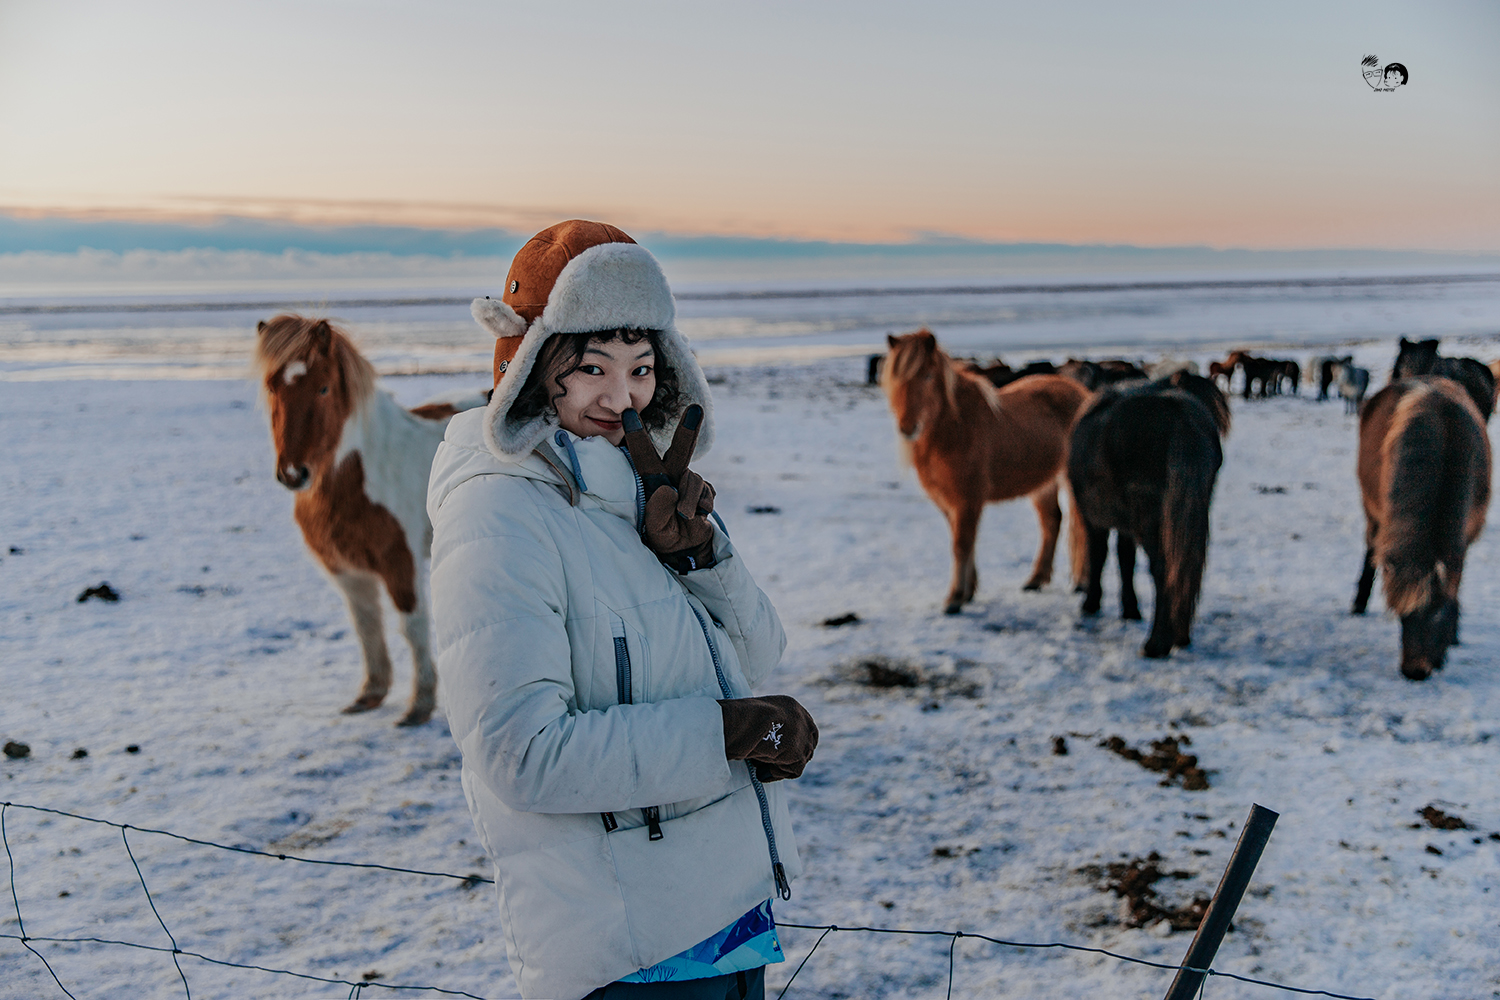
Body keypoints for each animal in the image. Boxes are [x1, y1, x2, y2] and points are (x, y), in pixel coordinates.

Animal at [256, 314, 486, 728]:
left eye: (323, 388)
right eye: (271, 387)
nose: (293, 474)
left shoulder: (401, 562)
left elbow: (412, 627)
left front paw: (418, 706)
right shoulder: (348, 571)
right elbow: (367, 626)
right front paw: (370, 695)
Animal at [876, 329, 1092, 611]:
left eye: (927, 375)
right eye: (895, 378)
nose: (907, 427)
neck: (955, 429)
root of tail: (1082, 394)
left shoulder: (968, 499)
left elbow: (961, 545)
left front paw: (955, 598)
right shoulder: (948, 501)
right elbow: (963, 542)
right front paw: (969, 591)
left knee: (1082, 527)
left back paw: (1082, 582)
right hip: (1044, 483)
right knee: (1051, 522)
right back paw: (1035, 580)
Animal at [1068, 371, 1230, 659]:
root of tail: (1179, 417)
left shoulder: (1094, 520)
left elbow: (1099, 555)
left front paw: (1091, 602)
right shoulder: (1125, 525)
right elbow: (1125, 559)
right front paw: (1130, 609)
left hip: (1150, 520)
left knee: (1163, 569)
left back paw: (1157, 643)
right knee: (1185, 568)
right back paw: (1180, 635)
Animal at [1350, 374, 1488, 680]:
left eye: (1435, 612)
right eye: (1403, 617)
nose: (1414, 672)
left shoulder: (1464, 539)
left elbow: (1455, 587)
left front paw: (1453, 635)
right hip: (1371, 511)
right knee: (1369, 548)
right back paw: (1358, 603)